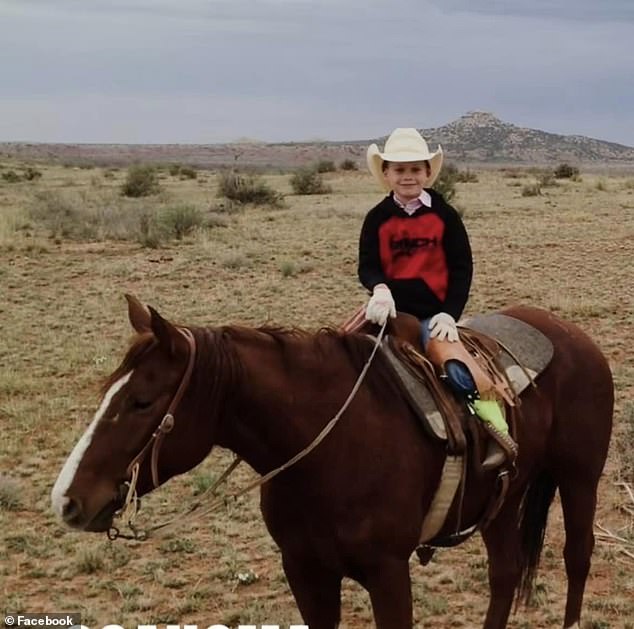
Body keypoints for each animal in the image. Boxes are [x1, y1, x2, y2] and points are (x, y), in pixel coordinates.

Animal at [50, 296, 612, 628]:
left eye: (142, 402)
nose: (67, 500)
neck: (329, 451)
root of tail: (572, 334)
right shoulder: (304, 571)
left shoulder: (388, 574)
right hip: (505, 496)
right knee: (505, 572)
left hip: (580, 478)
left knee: (577, 557)